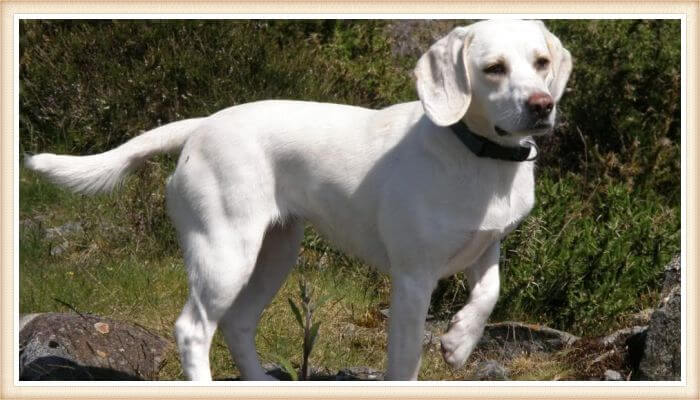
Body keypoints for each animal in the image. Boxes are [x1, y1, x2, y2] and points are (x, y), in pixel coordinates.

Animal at [27, 19, 572, 382]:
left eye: (542, 63)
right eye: (493, 69)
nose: (542, 106)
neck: (476, 156)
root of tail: (203, 125)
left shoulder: (486, 248)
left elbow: (490, 293)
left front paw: (459, 343)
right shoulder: (413, 278)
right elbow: (404, 361)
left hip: (275, 252)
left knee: (237, 325)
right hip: (224, 254)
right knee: (193, 328)